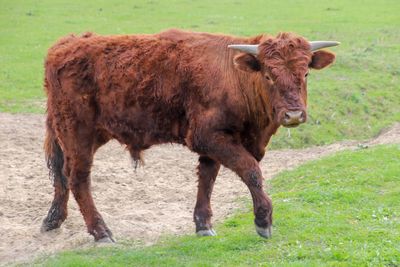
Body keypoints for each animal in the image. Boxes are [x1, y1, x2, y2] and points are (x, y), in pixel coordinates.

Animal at [42, 28, 340, 243]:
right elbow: (250, 171)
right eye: (268, 75)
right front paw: (263, 221)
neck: (234, 76)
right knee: (77, 178)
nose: (293, 114)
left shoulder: (215, 144)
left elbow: (207, 179)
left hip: (68, 134)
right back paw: (101, 232)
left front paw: (203, 224)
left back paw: (53, 219)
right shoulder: (208, 137)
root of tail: (65, 45)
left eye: (305, 73)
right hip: (78, 136)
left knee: (60, 173)